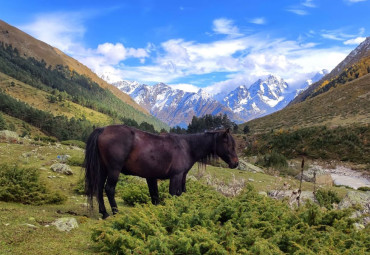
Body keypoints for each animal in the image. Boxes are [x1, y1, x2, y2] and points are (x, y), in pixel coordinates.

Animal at [83, 124, 238, 218]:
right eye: (229, 145)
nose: (235, 163)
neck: (187, 147)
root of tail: (103, 129)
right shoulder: (176, 176)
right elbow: (173, 195)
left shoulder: (156, 177)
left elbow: (158, 196)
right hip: (114, 170)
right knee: (109, 189)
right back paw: (115, 212)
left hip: (103, 170)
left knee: (99, 189)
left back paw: (104, 213)